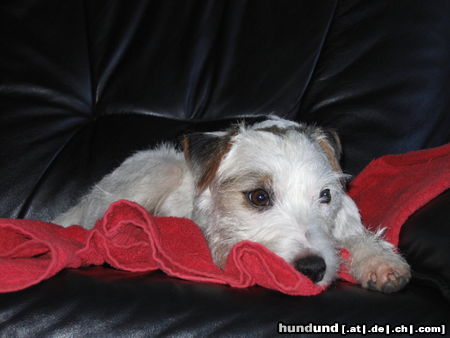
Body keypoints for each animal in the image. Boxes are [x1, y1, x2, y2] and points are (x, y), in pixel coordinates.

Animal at [53, 115, 412, 292]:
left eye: (325, 195)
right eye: (259, 196)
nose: (312, 269)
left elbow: (355, 235)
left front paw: (379, 261)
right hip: (158, 170)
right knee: (94, 224)